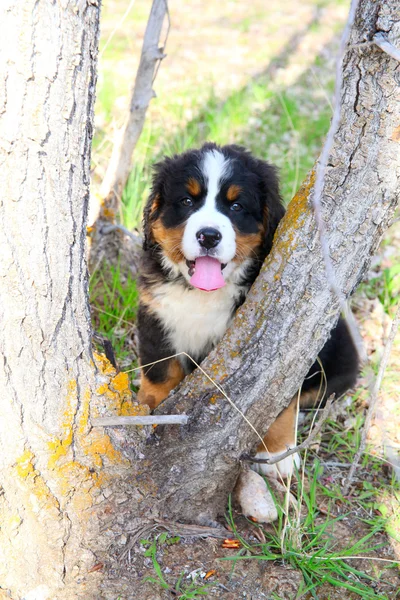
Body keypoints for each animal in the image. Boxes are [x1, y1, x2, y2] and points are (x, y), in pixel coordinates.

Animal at [138, 142, 360, 478]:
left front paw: (278, 451)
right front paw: (149, 413)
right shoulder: (155, 315)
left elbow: (278, 399)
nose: (208, 236)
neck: (203, 295)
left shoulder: (285, 347)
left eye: (236, 207)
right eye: (187, 201)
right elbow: (160, 372)